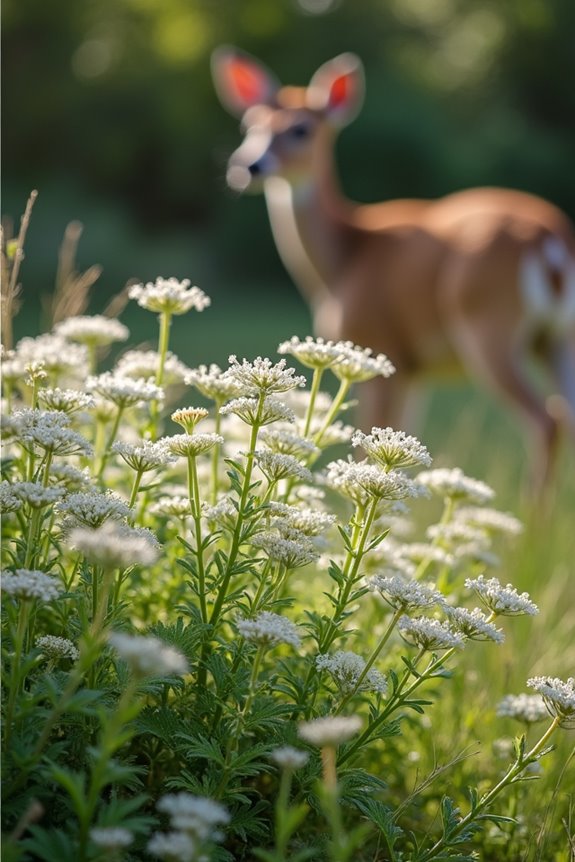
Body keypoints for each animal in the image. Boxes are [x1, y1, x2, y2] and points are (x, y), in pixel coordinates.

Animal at [211, 46, 575, 492]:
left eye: (301, 129)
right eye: (250, 124)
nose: (248, 165)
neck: (344, 258)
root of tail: (549, 238)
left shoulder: (382, 346)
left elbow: (370, 441)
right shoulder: (415, 370)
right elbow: (406, 435)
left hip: (490, 325)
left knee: (547, 419)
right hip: (559, 337)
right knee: (567, 412)